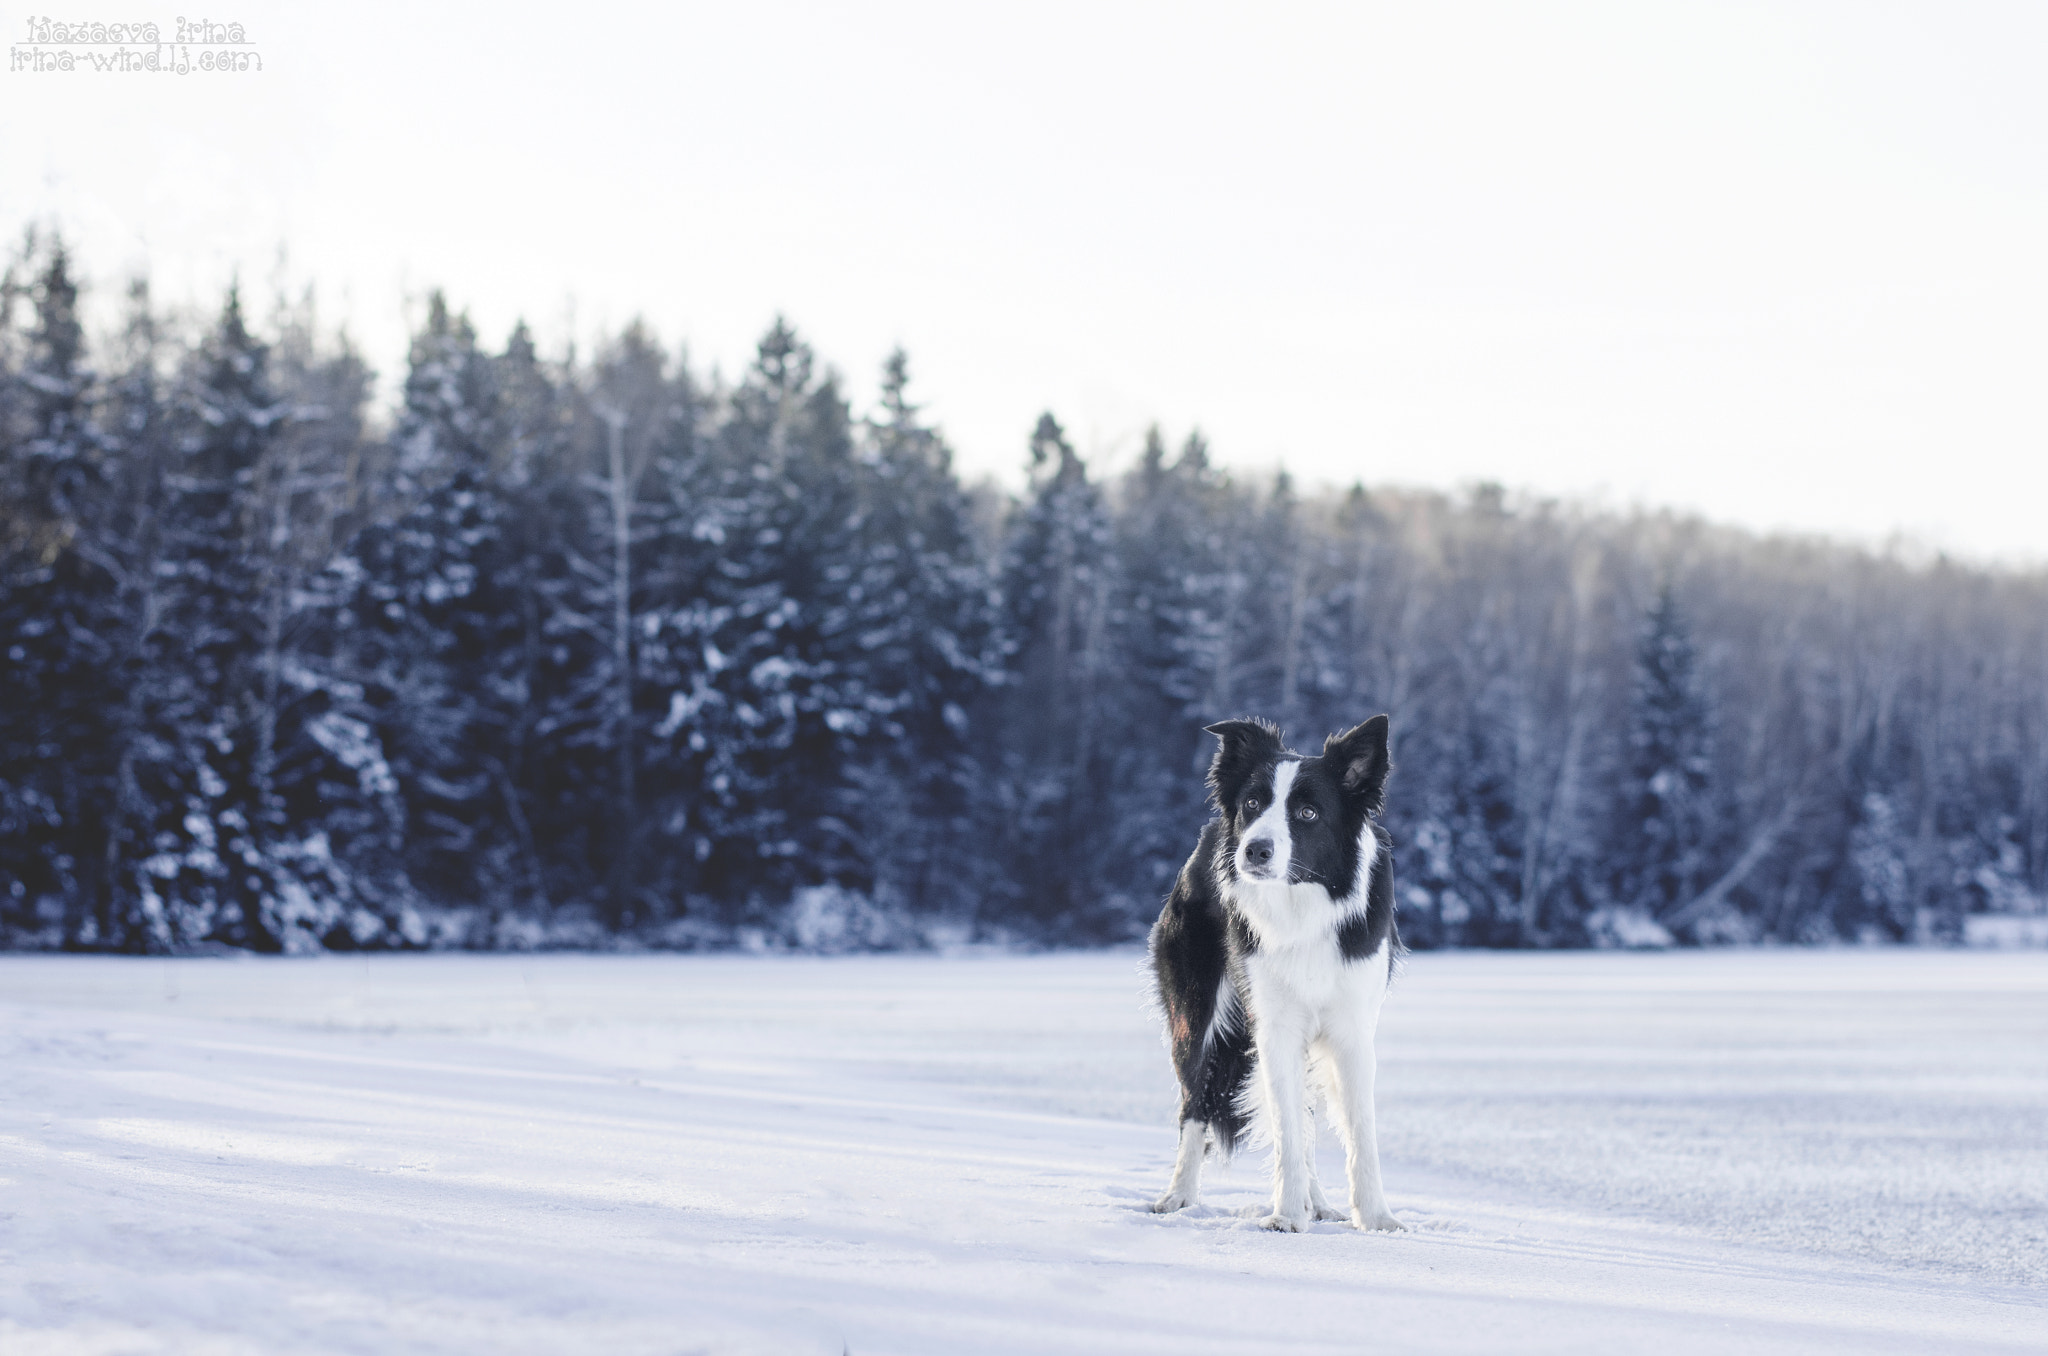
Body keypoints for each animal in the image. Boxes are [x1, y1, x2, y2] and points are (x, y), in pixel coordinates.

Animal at [1146, 716, 1400, 1237]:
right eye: (1252, 804)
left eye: (1307, 812)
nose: (1255, 850)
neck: (1302, 906)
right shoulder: (1275, 1028)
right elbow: (1286, 1129)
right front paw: (1285, 1217)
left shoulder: (1351, 1031)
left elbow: (1358, 1131)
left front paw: (1377, 1218)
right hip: (1195, 1018)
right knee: (1195, 1107)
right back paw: (1178, 1195)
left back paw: (1317, 1203)